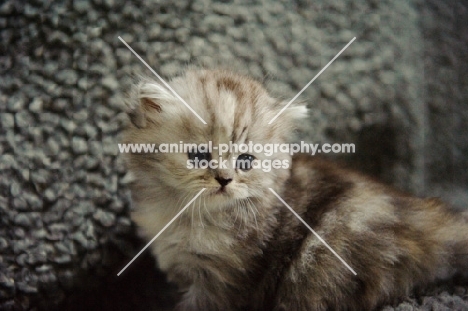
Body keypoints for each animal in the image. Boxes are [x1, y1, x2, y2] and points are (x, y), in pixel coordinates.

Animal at [121, 70, 468, 311]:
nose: (224, 180)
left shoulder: (223, 278)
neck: (185, 213)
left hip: (322, 261)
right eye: (198, 156)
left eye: (245, 161)